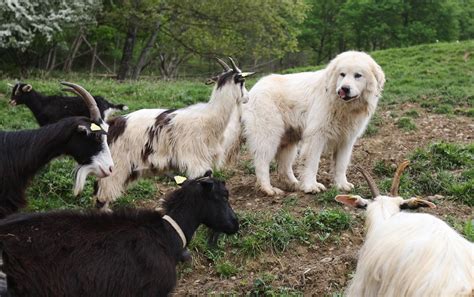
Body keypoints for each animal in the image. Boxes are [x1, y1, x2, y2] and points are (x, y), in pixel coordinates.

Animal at [94, 57, 254, 210]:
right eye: (242, 81)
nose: (247, 98)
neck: (209, 118)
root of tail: (112, 124)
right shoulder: (196, 160)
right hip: (117, 163)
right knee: (103, 192)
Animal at [243, 51, 384, 194]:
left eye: (358, 75)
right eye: (342, 74)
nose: (344, 89)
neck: (342, 106)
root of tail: (253, 89)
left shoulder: (346, 139)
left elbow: (341, 164)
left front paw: (342, 185)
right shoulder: (316, 135)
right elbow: (312, 163)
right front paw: (311, 186)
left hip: (288, 140)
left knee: (284, 166)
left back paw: (294, 184)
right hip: (268, 135)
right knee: (262, 161)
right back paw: (268, 189)